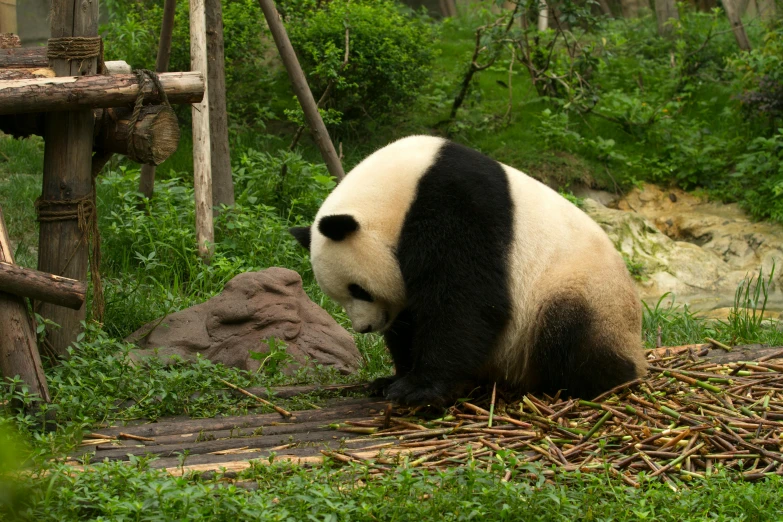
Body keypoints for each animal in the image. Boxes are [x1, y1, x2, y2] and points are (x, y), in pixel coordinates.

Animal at [290, 134, 648, 402]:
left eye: (358, 290)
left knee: (569, 332)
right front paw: (391, 380)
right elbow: (411, 317)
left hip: (586, 292)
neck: (398, 189)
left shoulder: (457, 204)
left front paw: (417, 389)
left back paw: (593, 381)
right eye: (339, 298)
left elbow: (466, 299)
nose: (365, 328)